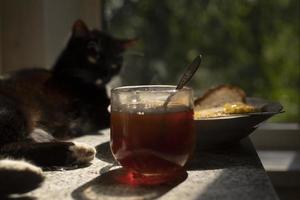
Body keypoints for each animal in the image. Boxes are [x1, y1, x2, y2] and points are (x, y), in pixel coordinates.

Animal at [0, 19, 134, 195]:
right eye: (93, 53)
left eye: (115, 64)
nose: (105, 74)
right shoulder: (97, 109)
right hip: (14, 111)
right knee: (7, 146)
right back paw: (74, 151)